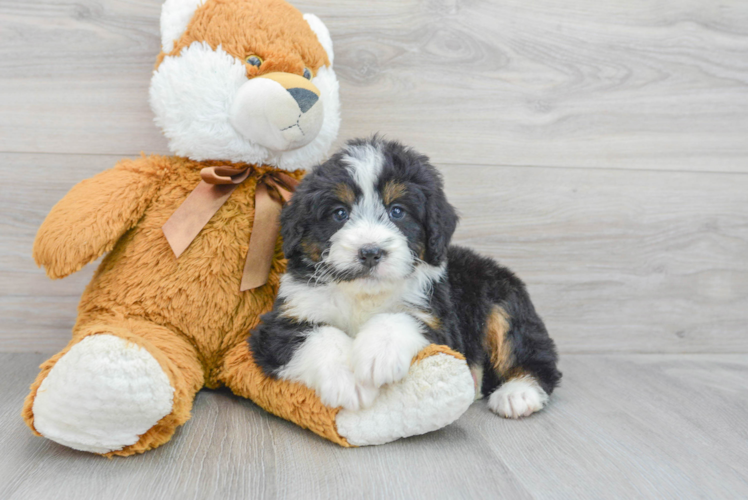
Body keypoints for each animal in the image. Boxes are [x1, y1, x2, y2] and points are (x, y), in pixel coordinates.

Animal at [251, 137, 560, 418]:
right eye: (340, 213)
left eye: (397, 211)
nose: (371, 252)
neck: (363, 294)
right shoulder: (280, 323)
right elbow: (321, 335)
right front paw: (349, 381)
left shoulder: (440, 321)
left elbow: (399, 317)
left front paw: (378, 356)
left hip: (503, 302)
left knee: (531, 353)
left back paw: (518, 393)